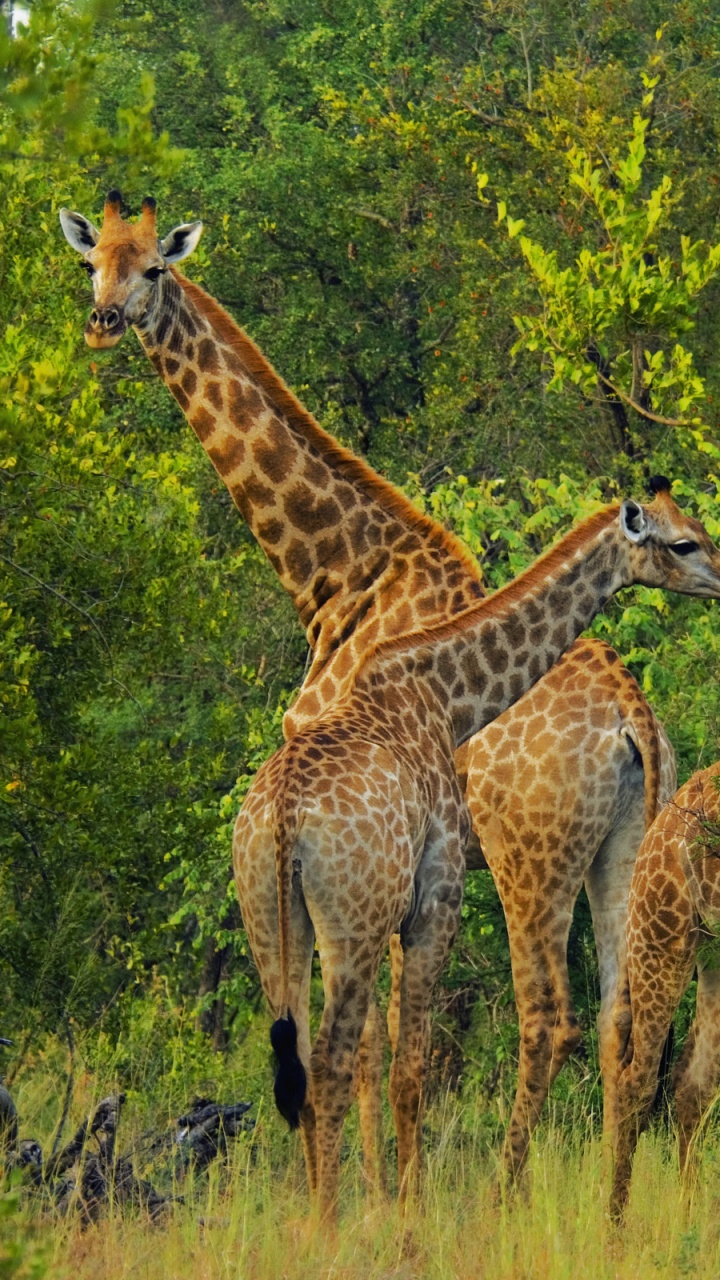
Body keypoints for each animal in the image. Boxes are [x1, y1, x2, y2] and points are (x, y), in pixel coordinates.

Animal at [234, 489, 720, 1222]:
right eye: (685, 541)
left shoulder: (417, 899)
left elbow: (400, 1055)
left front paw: (392, 1205)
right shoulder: (435, 895)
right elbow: (406, 1058)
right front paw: (400, 1213)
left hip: (286, 920)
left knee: (306, 1066)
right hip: (367, 917)